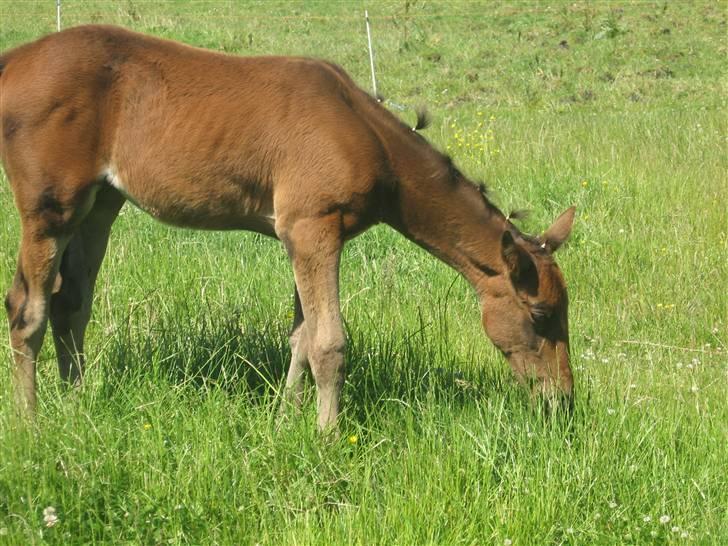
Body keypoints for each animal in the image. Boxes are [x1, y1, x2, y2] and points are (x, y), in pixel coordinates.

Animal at [2, 25, 576, 428]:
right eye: (541, 314)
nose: (563, 400)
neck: (364, 132)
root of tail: (13, 62)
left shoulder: (304, 236)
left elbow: (301, 336)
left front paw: (285, 421)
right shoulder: (312, 228)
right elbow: (329, 342)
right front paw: (327, 435)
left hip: (100, 205)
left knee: (71, 303)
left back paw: (77, 404)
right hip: (49, 210)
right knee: (27, 309)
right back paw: (34, 424)